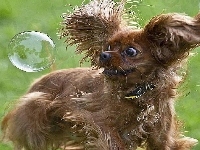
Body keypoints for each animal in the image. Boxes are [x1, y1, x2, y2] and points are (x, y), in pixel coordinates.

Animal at [1, 0, 200, 149]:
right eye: (108, 46)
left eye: (131, 51)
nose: (103, 55)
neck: (136, 94)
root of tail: (36, 82)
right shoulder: (92, 118)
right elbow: (112, 140)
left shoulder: (162, 136)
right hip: (37, 111)